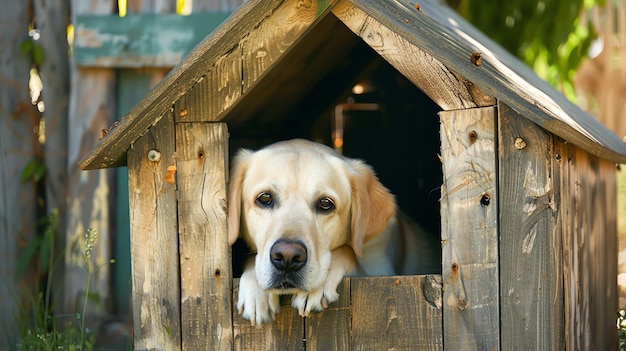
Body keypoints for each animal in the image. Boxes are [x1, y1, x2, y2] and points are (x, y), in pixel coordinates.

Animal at [227, 139, 436, 326]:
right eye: (265, 198)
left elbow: (348, 251)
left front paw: (319, 284)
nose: (287, 257)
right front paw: (256, 290)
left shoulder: (382, 271)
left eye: (325, 204)